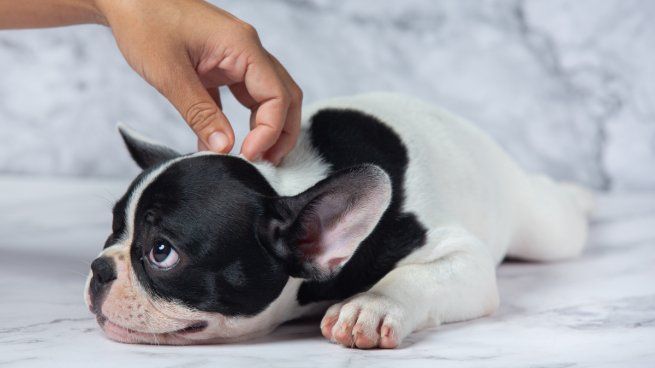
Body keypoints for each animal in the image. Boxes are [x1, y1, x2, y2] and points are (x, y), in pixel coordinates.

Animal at [83, 93, 596, 350]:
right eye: (114, 229)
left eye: (162, 252)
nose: (98, 268)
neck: (281, 183)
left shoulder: (461, 255)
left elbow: (417, 276)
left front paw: (372, 307)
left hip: (544, 229)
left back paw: (583, 197)